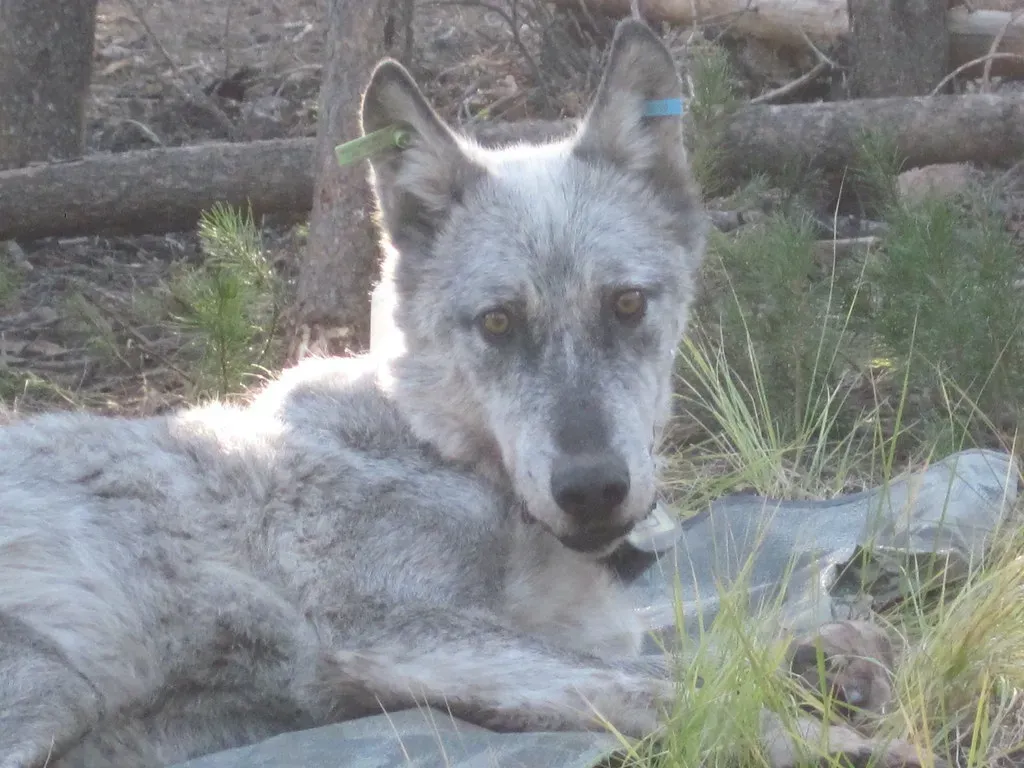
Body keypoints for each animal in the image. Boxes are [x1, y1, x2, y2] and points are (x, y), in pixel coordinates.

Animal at [0, 18, 923, 768]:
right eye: (498, 323)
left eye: (627, 305)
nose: (593, 489)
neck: (436, 449)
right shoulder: (393, 635)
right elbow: (664, 684)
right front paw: (826, 735)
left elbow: (712, 638)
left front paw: (837, 656)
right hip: (55, 684)